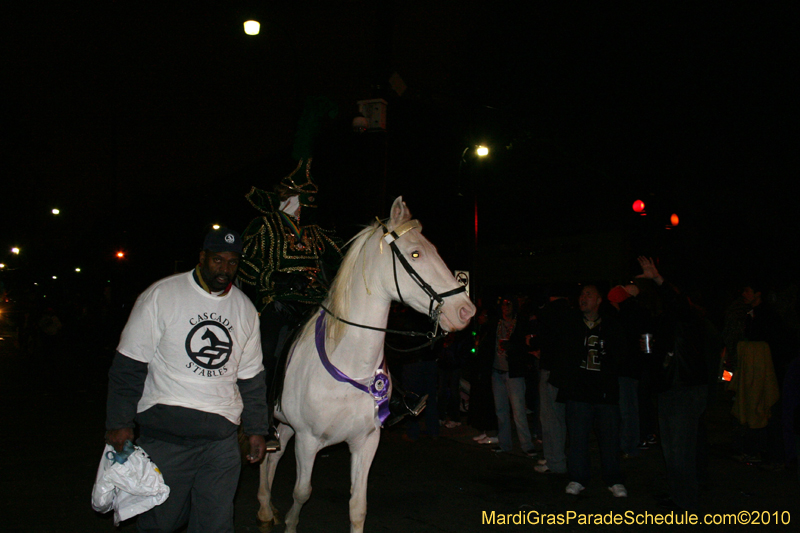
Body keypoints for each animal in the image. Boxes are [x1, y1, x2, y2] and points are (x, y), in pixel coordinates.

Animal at [258, 197, 476, 528]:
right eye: (416, 253)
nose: (466, 310)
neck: (350, 364)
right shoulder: (308, 440)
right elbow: (302, 492)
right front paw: (291, 525)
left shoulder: (366, 440)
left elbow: (358, 507)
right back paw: (262, 509)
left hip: (284, 423)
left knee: (272, 456)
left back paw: (268, 508)